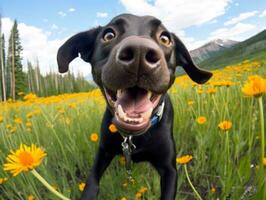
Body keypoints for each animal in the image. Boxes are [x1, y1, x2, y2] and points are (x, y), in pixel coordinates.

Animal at [56, 13, 212, 199]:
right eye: (109, 35)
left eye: (165, 38)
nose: (139, 52)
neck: (133, 136)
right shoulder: (103, 151)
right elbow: (91, 182)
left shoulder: (169, 169)